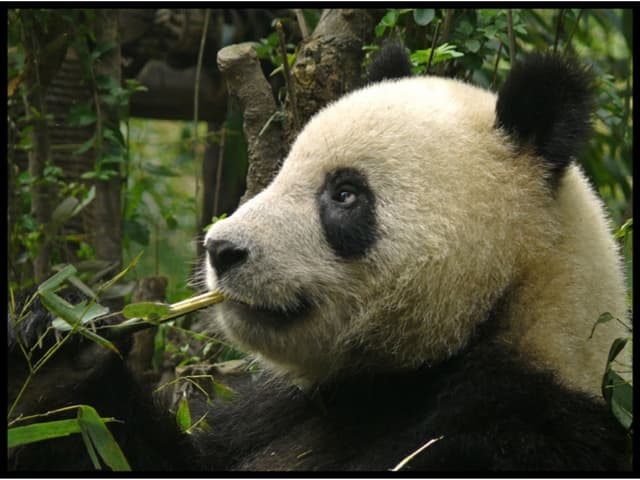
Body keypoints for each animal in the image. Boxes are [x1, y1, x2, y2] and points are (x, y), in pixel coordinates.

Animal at [8, 43, 630, 471]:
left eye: (345, 194)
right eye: (282, 170)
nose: (222, 250)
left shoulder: (517, 427)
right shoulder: (279, 410)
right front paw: (61, 356)